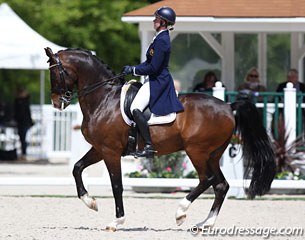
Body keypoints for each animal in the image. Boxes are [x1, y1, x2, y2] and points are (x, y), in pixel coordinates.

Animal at [44, 47, 276, 232]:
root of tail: (228, 106)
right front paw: (90, 201)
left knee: (207, 179)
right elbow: (77, 168)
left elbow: (117, 186)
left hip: (197, 151)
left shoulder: (110, 151)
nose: (56, 102)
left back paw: (181, 212)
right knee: (221, 185)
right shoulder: (100, 149)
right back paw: (205, 223)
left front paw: (116, 222)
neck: (103, 99)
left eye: (54, 73)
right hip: (213, 154)